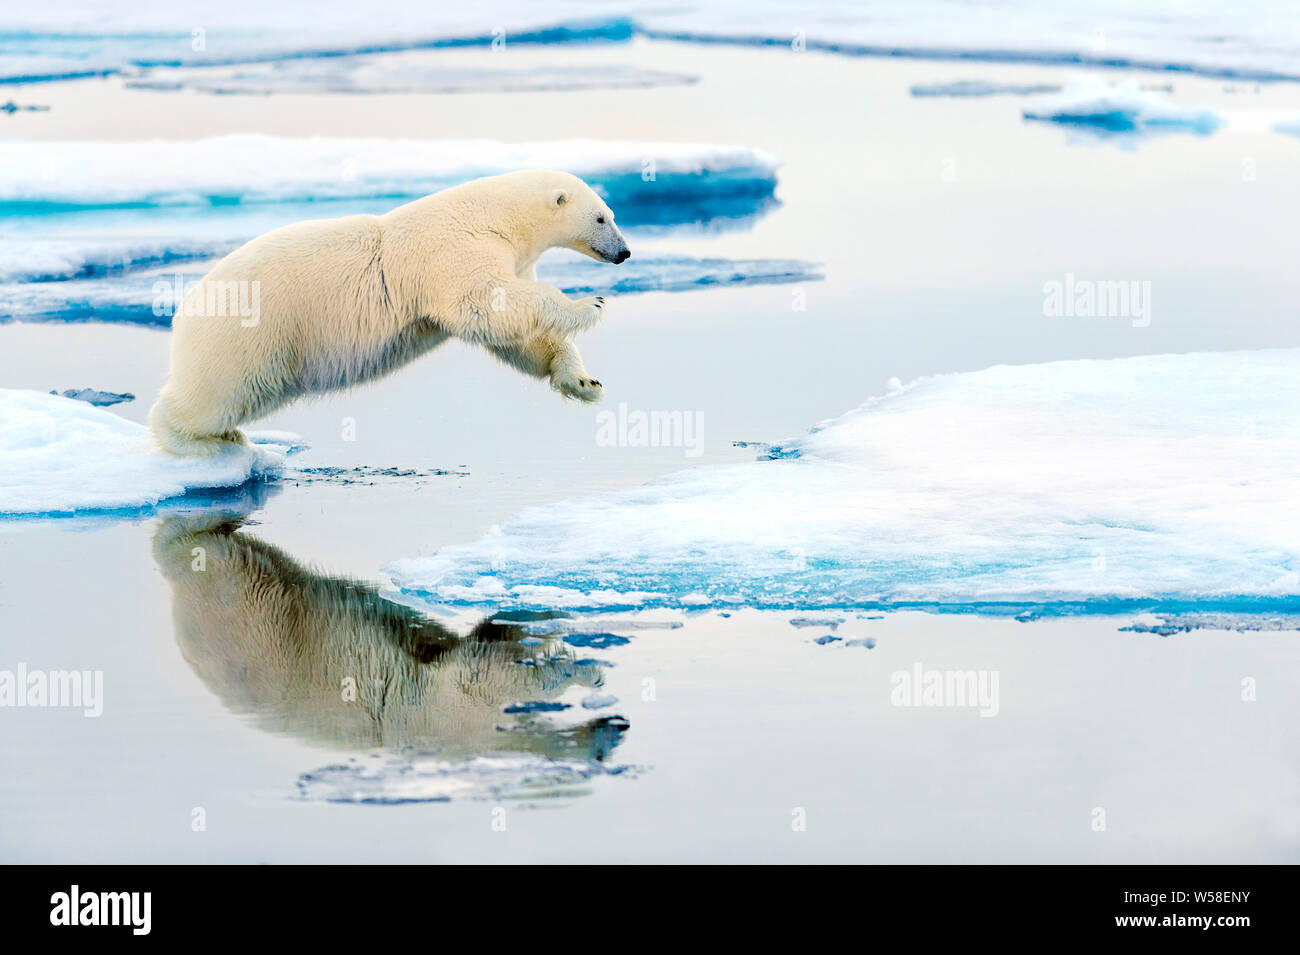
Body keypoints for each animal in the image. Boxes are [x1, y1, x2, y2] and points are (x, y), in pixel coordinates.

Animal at [147, 170, 629, 457]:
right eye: (602, 218)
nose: (624, 252)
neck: (495, 216)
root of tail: (187, 308)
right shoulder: (457, 250)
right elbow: (485, 304)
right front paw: (589, 304)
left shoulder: (512, 259)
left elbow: (519, 334)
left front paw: (584, 382)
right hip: (251, 333)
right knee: (217, 391)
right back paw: (204, 442)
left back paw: (227, 434)